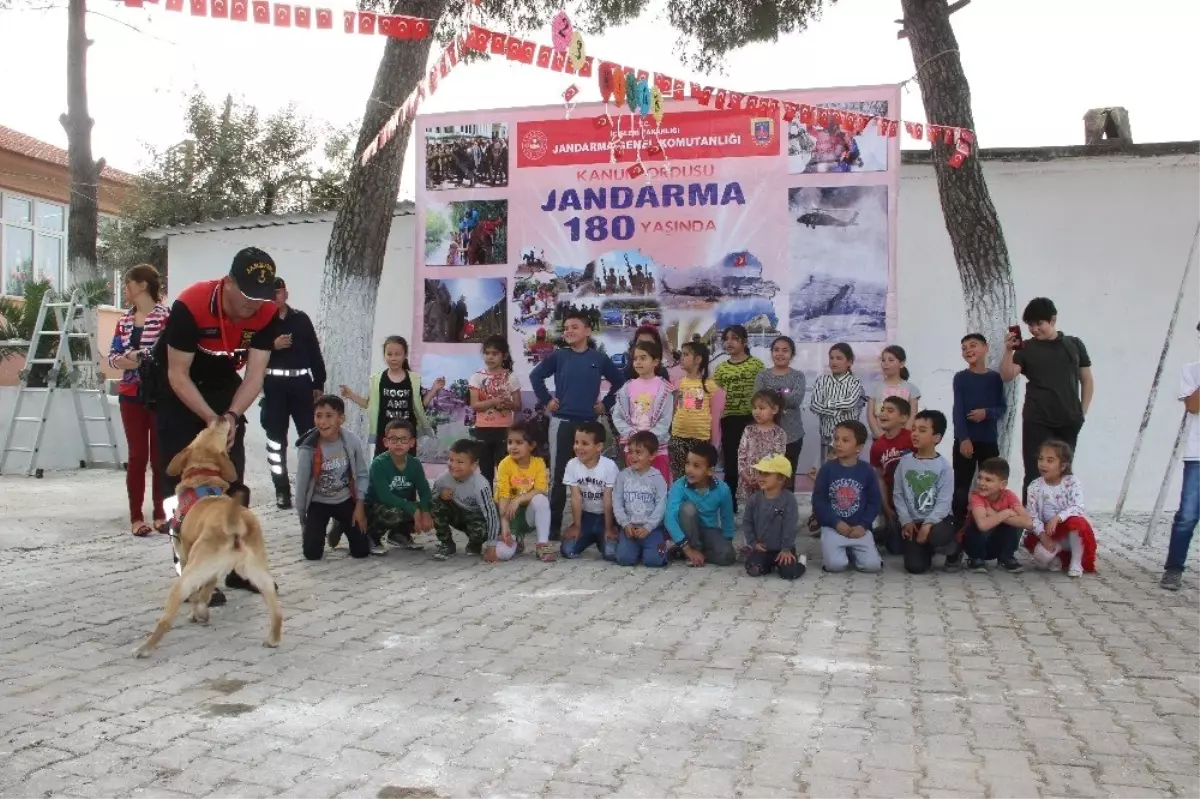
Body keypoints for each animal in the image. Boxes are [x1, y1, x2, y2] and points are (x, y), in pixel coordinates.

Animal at [133, 417, 280, 652]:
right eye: (209, 430)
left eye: (201, 432)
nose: (221, 417)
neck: (202, 476)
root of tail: (234, 524)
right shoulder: (215, 571)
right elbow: (206, 591)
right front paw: (202, 609)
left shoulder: (185, 557)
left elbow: (197, 595)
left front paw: (197, 612)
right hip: (259, 573)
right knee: (277, 611)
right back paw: (273, 638)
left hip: (187, 577)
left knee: (166, 619)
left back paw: (145, 648)